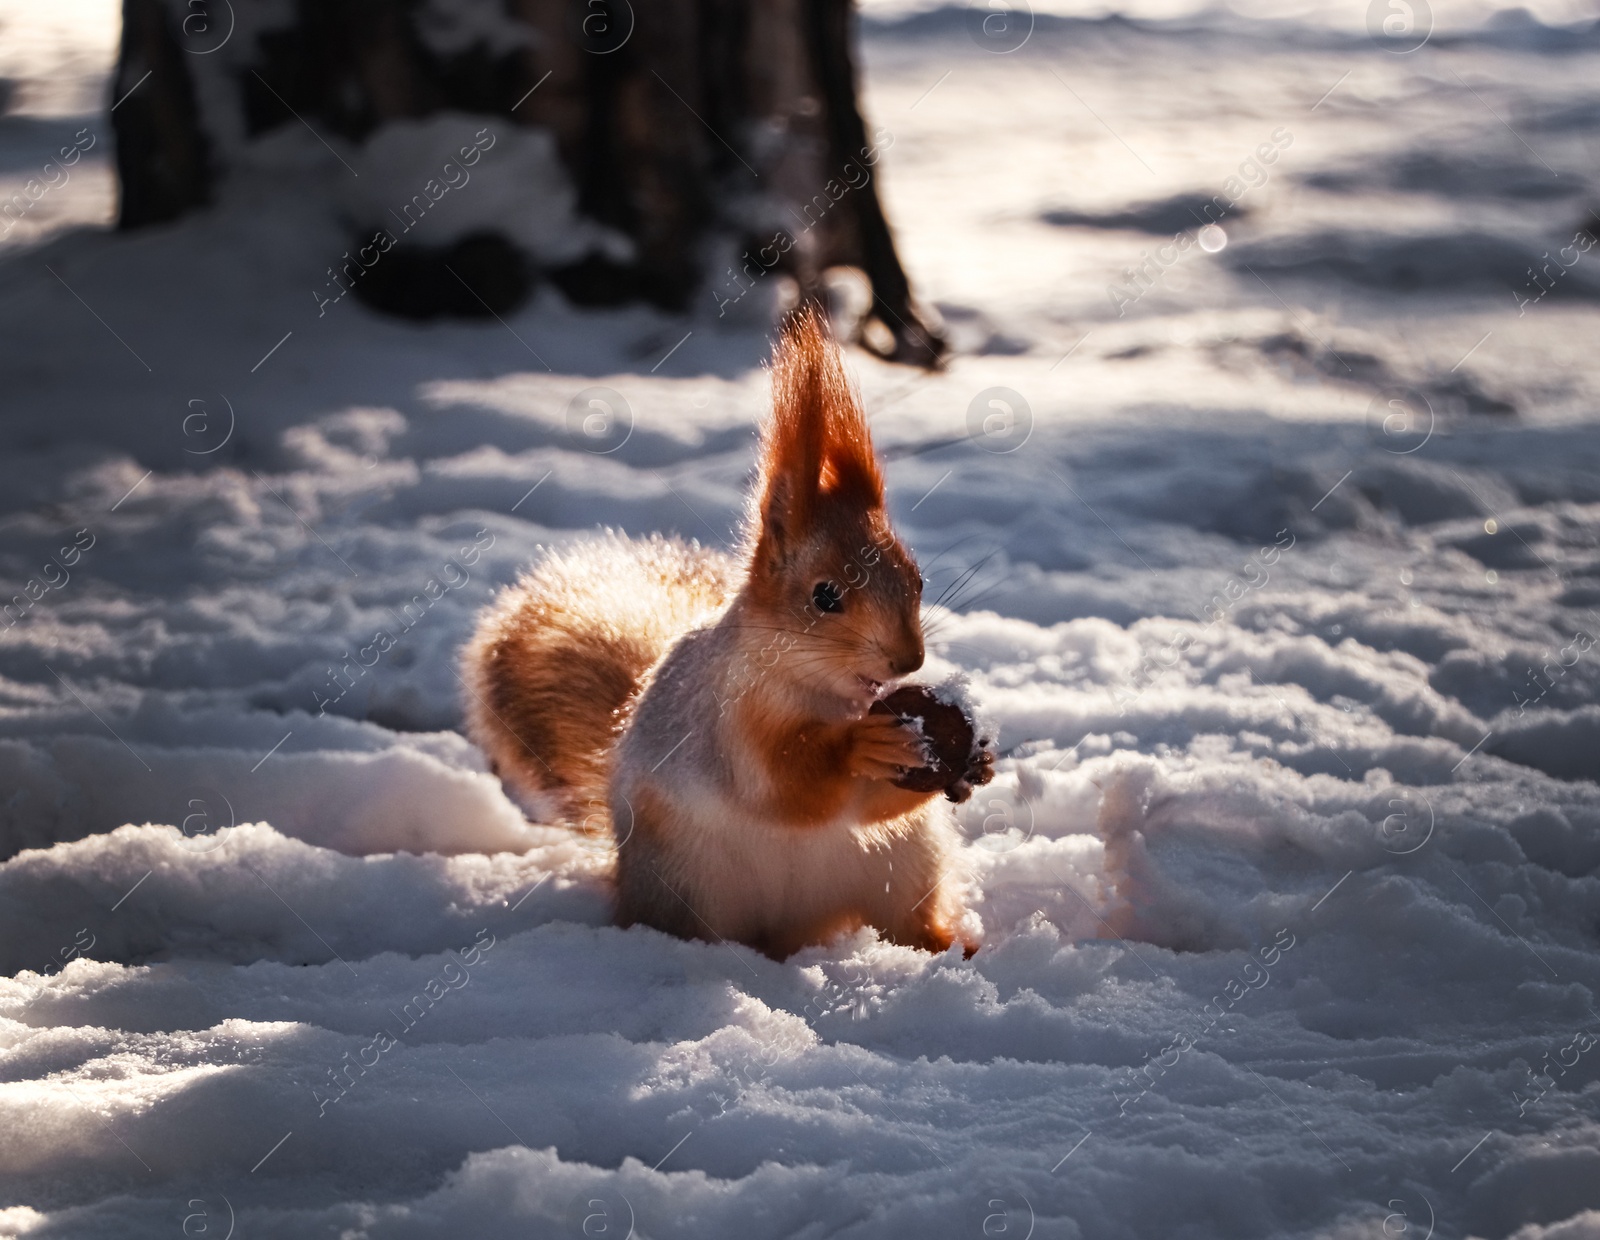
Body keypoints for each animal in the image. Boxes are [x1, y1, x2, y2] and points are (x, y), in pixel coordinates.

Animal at [464, 307, 979, 960]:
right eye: (824, 596)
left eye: (917, 578)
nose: (908, 662)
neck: (825, 694)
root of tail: (791, 932)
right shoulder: (733, 722)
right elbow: (788, 787)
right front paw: (864, 746)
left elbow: (868, 810)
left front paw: (977, 755)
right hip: (691, 884)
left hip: (906, 867)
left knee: (908, 923)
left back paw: (953, 947)